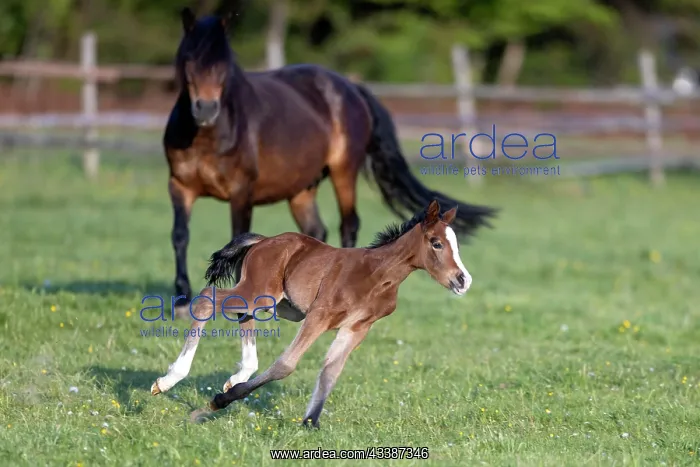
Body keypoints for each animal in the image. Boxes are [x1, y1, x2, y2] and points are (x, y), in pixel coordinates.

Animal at [150, 199, 472, 428]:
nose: (463, 280)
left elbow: (330, 372)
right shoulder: (320, 315)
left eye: (456, 244)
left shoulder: (357, 328)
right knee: (207, 300)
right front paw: (217, 403)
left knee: (242, 315)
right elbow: (286, 365)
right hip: (260, 293)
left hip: (272, 302)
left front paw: (309, 423)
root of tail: (263, 240)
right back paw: (169, 380)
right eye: (436, 243)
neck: (377, 275)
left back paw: (239, 374)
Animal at [164, 7, 495, 317]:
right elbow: (180, 235)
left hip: (343, 171)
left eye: (223, 64)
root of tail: (351, 87)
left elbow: (236, 234)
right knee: (316, 231)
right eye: (188, 59)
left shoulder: (242, 192)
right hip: (302, 190)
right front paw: (181, 298)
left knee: (348, 224)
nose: (205, 108)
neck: (209, 136)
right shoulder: (179, 186)